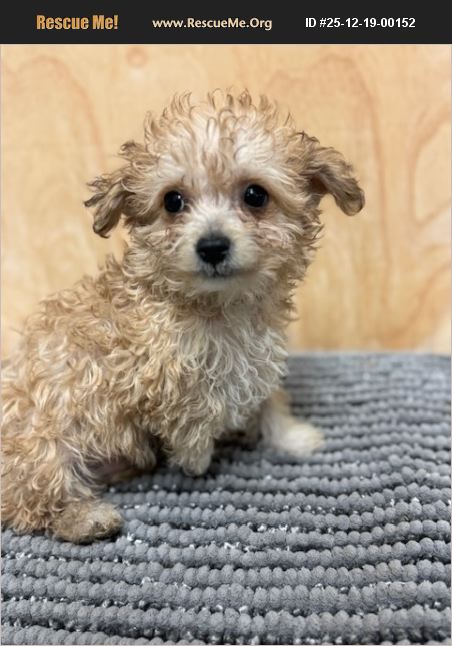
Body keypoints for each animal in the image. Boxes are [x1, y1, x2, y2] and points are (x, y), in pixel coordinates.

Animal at [1, 91, 364, 543]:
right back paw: (86, 518)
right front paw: (197, 460)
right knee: (33, 501)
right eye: (172, 201)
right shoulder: (160, 379)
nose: (212, 246)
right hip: (40, 443)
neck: (220, 307)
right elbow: (191, 421)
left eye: (255, 196)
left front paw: (292, 436)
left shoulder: (256, 360)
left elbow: (267, 399)